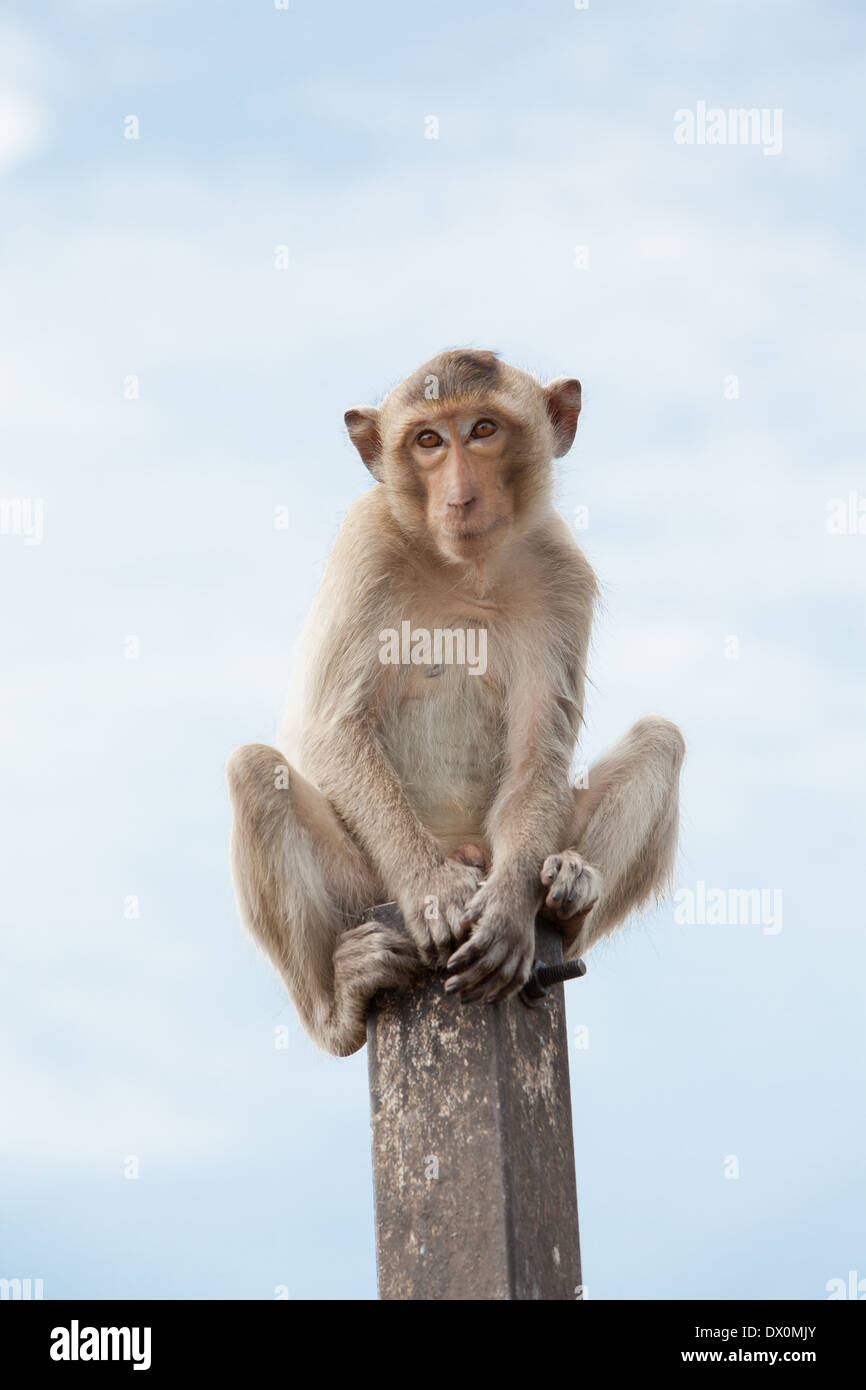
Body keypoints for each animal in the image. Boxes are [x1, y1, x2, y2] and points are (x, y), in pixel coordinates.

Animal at [226, 347, 686, 1050]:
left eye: (483, 430)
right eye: (428, 440)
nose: (460, 496)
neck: (467, 568)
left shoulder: (563, 568)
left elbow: (536, 752)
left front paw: (509, 910)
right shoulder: (367, 541)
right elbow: (332, 728)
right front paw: (433, 891)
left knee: (662, 740)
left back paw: (567, 893)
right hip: (363, 884)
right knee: (255, 772)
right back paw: (341, 1003)